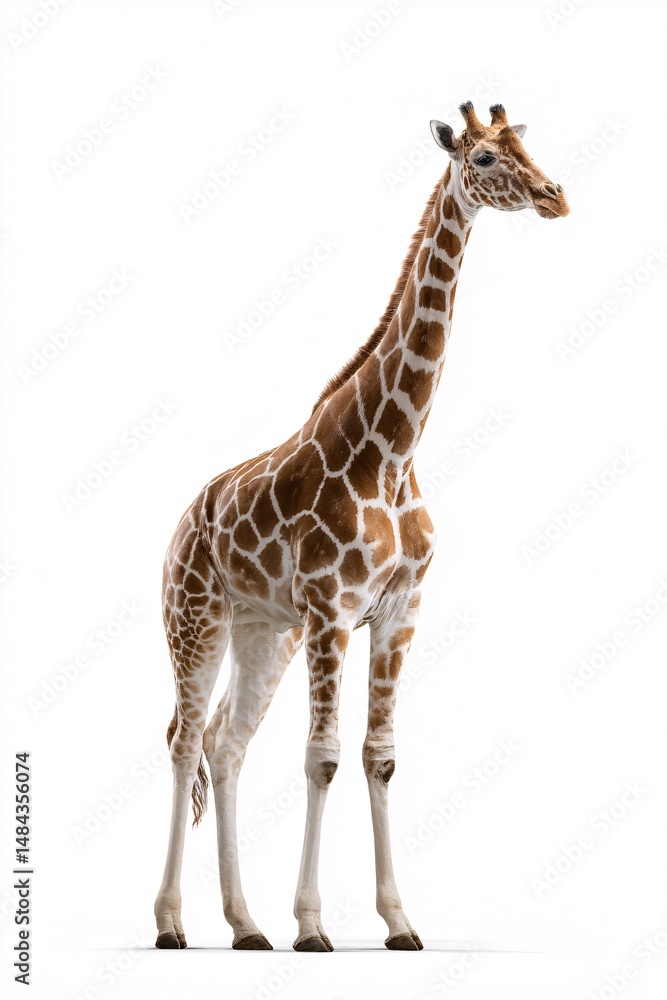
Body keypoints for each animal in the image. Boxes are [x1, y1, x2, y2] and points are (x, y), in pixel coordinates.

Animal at [154, 102, 569, 953]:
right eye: (483, 158)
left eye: (525, 144)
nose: (554, 196)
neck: (393, 449)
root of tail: (182, 520)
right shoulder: (330, 609)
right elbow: (322, 757)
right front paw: (312, 926)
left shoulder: (398, 609)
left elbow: (378, 757)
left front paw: (398, 921)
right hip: (195, 619)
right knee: (182, 741)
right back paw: (172, 925)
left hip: (262, 631)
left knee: (225, 742)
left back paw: (243, 926)